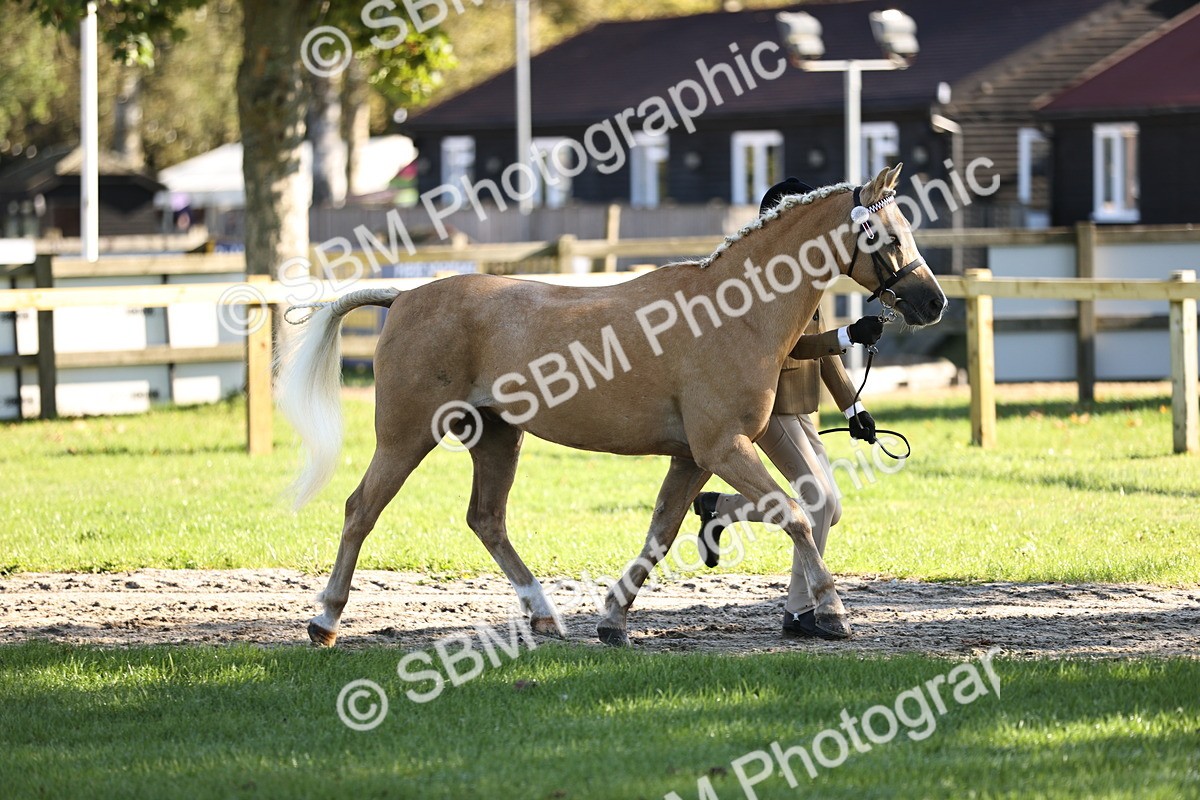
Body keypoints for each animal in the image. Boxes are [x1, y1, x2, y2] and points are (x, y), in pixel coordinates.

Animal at [276, 164, 946, 648]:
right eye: (886, 236)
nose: (932, 302)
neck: (732, 312)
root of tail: (405, 296)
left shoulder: (694, 457)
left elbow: (662, 533)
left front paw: (613, 621)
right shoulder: (724, 447)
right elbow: (798, 516)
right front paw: (832, 613)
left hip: (497, 437)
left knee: (486, 520)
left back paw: (544, 616)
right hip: (407, 435)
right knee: (361, 510)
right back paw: (325, 622)